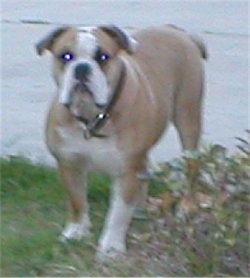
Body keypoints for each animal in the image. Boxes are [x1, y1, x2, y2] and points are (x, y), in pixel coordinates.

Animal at [35, 24, 207, 258]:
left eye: (103, 57)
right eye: (66, 56)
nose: (82, 68)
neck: (93, 116)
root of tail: (174, 29)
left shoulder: (127, 171)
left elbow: (118, 213)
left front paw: (110, 246)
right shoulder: (69, 163)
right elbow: (77, 200)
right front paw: (76, 231)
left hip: (187, 118)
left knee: (191, 165)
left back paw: (185, 207)